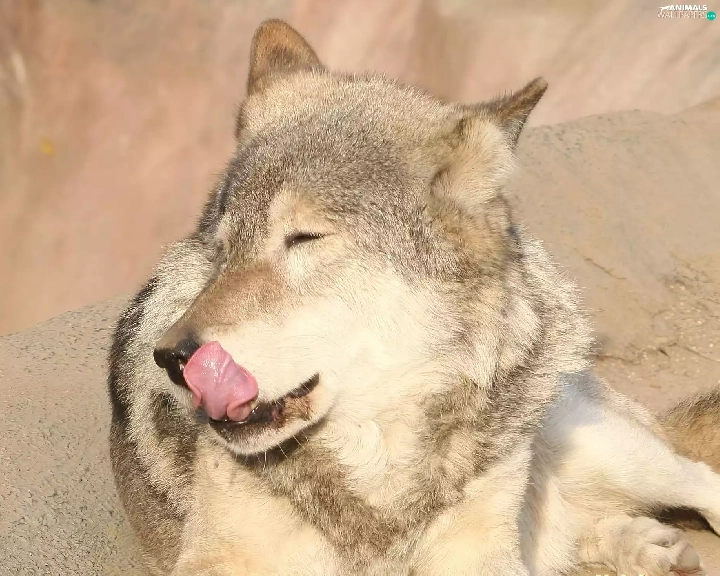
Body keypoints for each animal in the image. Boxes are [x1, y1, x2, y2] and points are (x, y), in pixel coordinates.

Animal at [108, 19, 720, 576]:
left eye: (303, 238)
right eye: (222, 248)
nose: (172, 357)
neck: (378, 467)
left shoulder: (478, 550)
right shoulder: (219, 558)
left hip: (608, 450)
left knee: (700, 478)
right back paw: (646, 548)